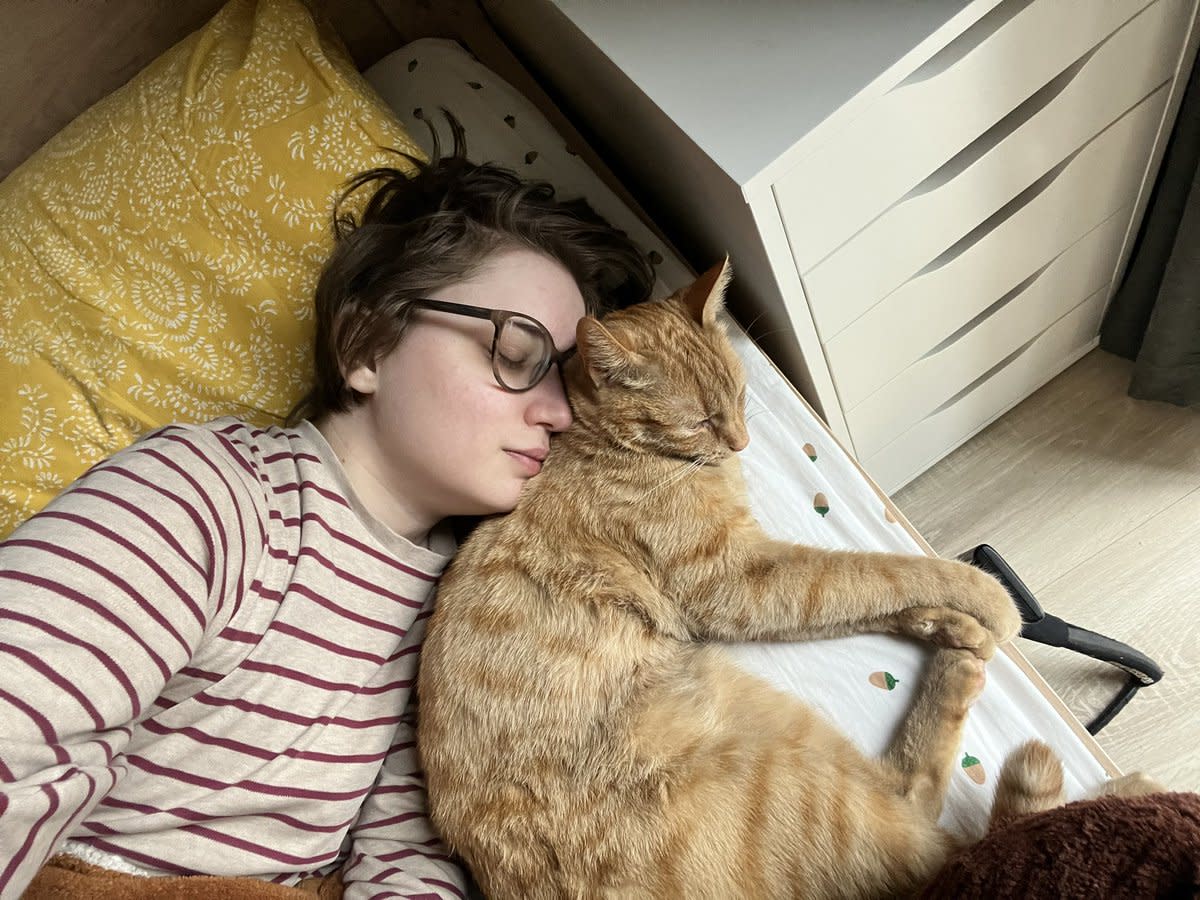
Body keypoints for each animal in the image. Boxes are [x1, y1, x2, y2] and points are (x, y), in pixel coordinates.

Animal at [417, 262, 1046, 900]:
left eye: (742, 396)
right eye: (700, 421)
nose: (743, 442)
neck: (607, 446)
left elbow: (863, 588)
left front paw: (937, 616)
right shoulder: (739, 579)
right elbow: (874, 571)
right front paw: (988, 598)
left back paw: (955, 641)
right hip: (799, 777)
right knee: (921, 814)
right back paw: (963, 661)